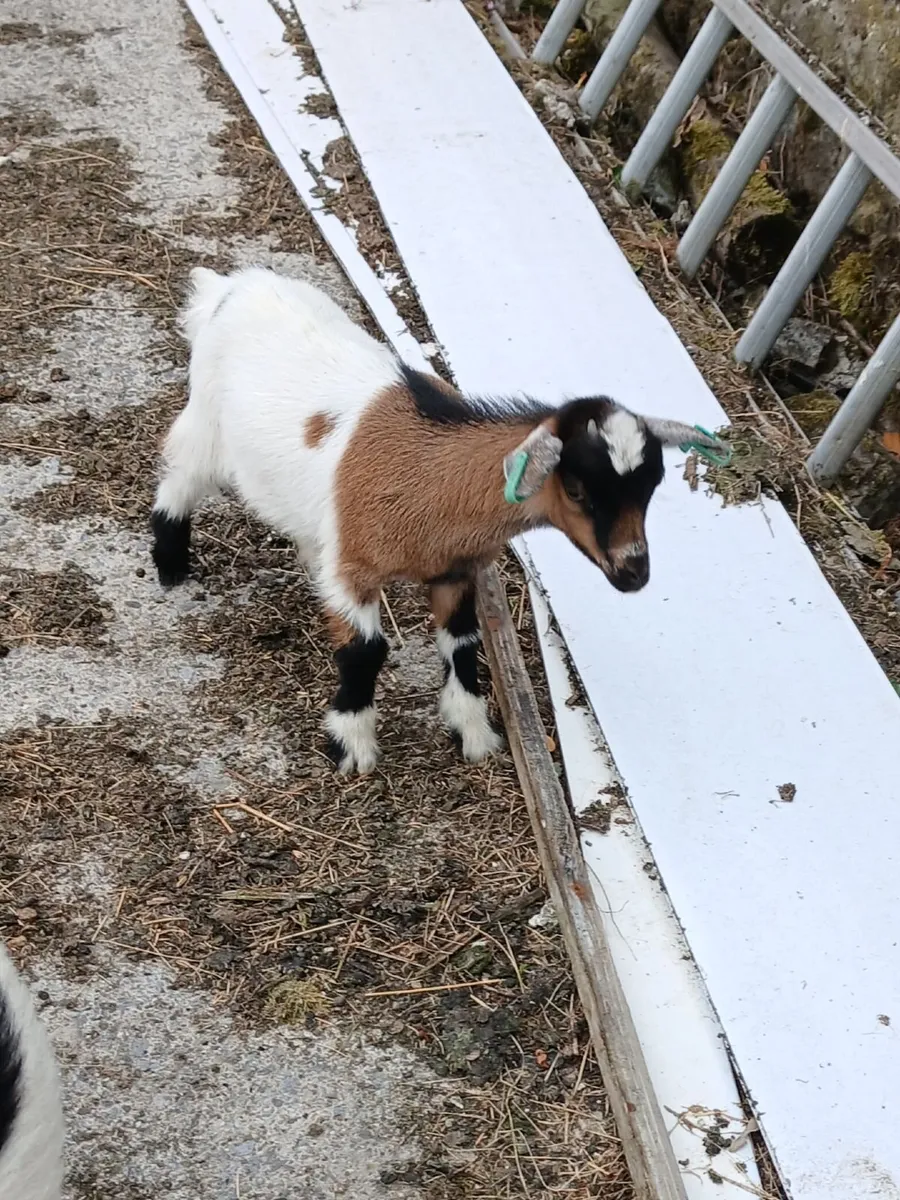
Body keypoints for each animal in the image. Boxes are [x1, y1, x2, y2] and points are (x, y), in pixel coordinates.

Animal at [152, 266, 720, 775]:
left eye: (651, 488)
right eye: (578, 490)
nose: (634, 573)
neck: (435, 482)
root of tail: (231, 285)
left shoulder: (456, 570)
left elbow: (463, 643)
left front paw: (473, 731)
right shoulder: (357, 567)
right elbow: (364, 650)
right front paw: (352, 744)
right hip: (206, 421)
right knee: (178, 477)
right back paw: (170, 563)